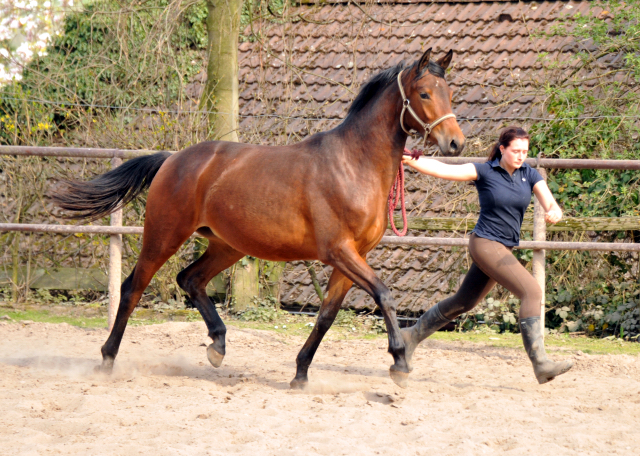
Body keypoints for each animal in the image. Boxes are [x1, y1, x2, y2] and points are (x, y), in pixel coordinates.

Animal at [52, 47, 464, 388]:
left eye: (449, 93)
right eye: (424, 94)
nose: (456, 143)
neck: (353, 164)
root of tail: (172, 159)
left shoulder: (353, 257)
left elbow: (327, 316)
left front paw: (300, 373)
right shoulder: (339, 251)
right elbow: (384, 295)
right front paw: (400, 363)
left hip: (227, 246)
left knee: (190, 279)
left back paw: (217, 345)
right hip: (163, 236)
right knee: (133, 288)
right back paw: (107, 359)